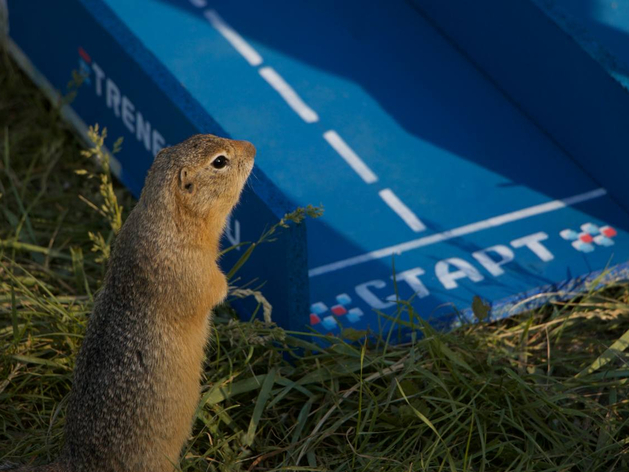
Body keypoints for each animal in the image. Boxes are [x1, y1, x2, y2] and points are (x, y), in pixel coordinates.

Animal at [14, 134, 255, 472]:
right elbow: (211, 290)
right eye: (219, 161)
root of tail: (72, 458)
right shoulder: (191, 271)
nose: (253, 148)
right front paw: (228, 288)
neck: (166, 219)